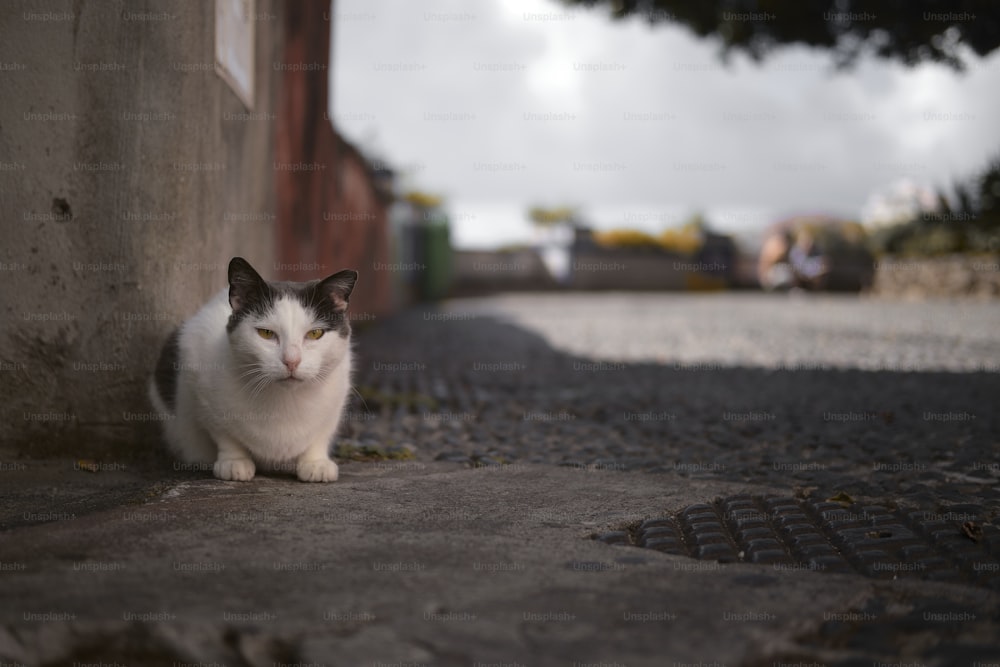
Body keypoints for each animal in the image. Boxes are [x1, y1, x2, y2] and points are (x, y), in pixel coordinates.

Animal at [149, 258, 360, 482]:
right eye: (266, 333)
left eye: (315, 333)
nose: (291, 361)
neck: (285, 401)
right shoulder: (197, 370)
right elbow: (225, 434)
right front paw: (234, 462)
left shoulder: (337, 399)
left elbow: (321, 435)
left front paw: (315, 462)